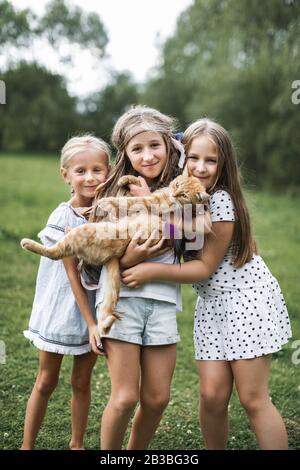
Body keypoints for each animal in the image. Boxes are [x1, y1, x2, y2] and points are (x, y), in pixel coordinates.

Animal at [21, 175, 210, 334]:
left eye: (184, 195)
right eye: (177, 185)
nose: (174, 194)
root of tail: (113, 255)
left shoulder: (149, 200)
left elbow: (126, 200)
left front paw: (105, 200)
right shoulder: (155, 193)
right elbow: (134, 184)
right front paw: (125, 180)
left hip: (84, 232)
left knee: (56, 252)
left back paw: (34, 241)